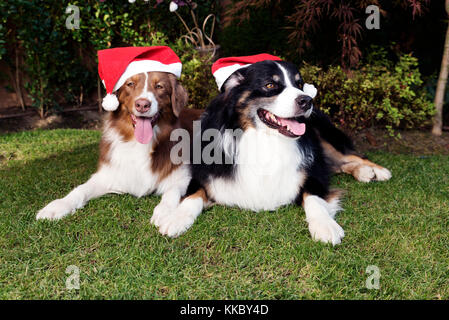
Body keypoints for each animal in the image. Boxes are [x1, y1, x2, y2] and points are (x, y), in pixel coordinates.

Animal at [36, 70, 200, 220]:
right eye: (130, 84)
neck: (139, 143)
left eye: (159, 86)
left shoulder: (182, 177)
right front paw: (57, 206)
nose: (142, 105)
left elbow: (171, 193)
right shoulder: (108, 174)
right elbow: (80, 189)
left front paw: (165, 212)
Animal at [153, 59, 388, 245]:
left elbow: (313, 197)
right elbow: (192, 196)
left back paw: (377, 170)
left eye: (299, 84)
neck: (263, 137)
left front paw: (324, 226)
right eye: (270, 85)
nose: (307, 100)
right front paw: (176, 218)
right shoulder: (205, 174)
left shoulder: (313, 173)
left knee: (349, 156)